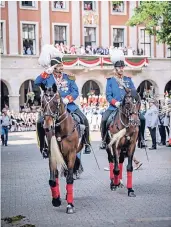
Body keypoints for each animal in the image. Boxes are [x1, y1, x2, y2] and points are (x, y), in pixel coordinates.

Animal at [40, 83, 85, 213]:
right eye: (42, 102)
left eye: (55, 102)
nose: (47, 127)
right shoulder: (52, 154)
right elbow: (52, 179)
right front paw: (56, 200)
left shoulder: (72, 154)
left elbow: (69, 178)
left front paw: (70, 205)